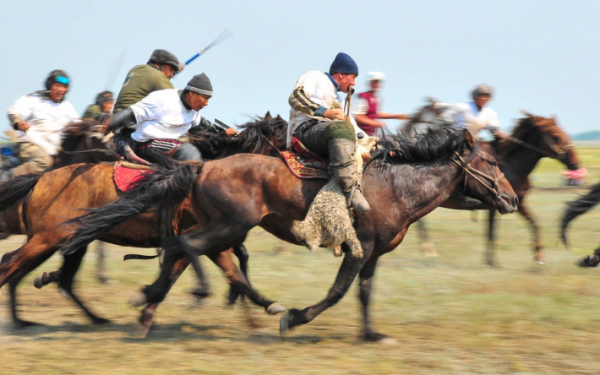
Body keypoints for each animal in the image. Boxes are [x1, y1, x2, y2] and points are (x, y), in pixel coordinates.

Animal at [0, 115, 288, 328]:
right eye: (284, 138)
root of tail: (41, 178)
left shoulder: (211, 240)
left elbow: (233, 270)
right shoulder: (199, 238)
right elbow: (188, 273)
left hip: (63, 241)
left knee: (51, 278)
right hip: (48, 238)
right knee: (12, 265)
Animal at [62, 129, 520, 340]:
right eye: (491, 162)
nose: (513, 199)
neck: (395, 185)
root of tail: (203, 165)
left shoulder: (373, 254)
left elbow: (364, 292)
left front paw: (370, 334)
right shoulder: (359, 248)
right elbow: (337, 292)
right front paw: (296, 318)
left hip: (220, 225)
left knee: (179, 250)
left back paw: (148, 303)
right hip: (232, 224)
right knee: (190, 248)